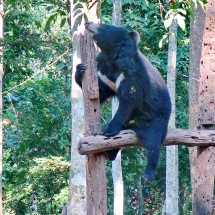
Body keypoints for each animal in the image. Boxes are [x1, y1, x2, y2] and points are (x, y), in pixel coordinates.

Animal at [75, 23, 171, 181]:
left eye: (104, 26)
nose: (87, 23)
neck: (112, 58)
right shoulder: (104, 72)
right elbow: (101, 93)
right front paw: (80, 70)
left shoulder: (132, 76)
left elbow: (127, 102)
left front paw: (108, 131)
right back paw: (110, 153)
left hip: (157, 118)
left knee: (153, 143)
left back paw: (148, 174)